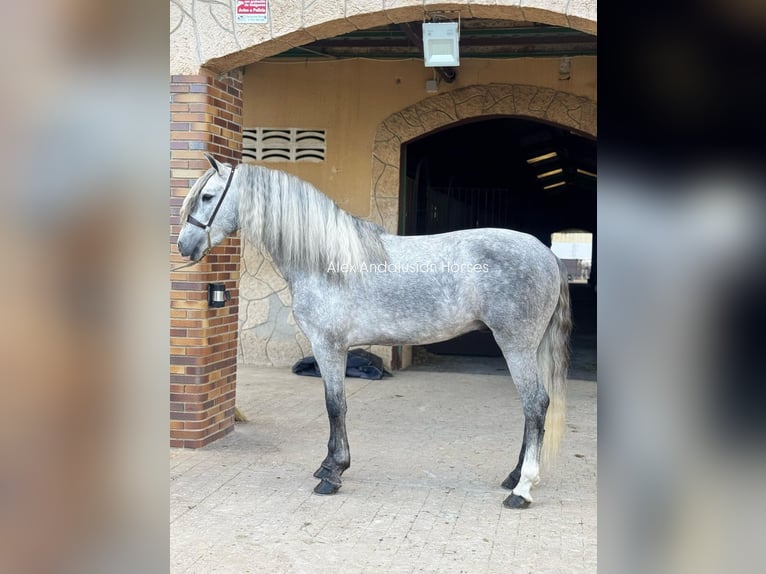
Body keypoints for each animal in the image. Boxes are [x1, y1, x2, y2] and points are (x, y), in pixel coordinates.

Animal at [178, 155, 568, 510]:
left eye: (208, 197)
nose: (184, 246)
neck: (325, 260)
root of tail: (545, 253)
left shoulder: (328, 346)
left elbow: (335, 405)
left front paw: (333, 473)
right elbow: (335, 406)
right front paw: (328, 466)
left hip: (516, 344)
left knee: (535, 404)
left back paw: (522, 489)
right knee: (531, 408)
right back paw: (514, 476)